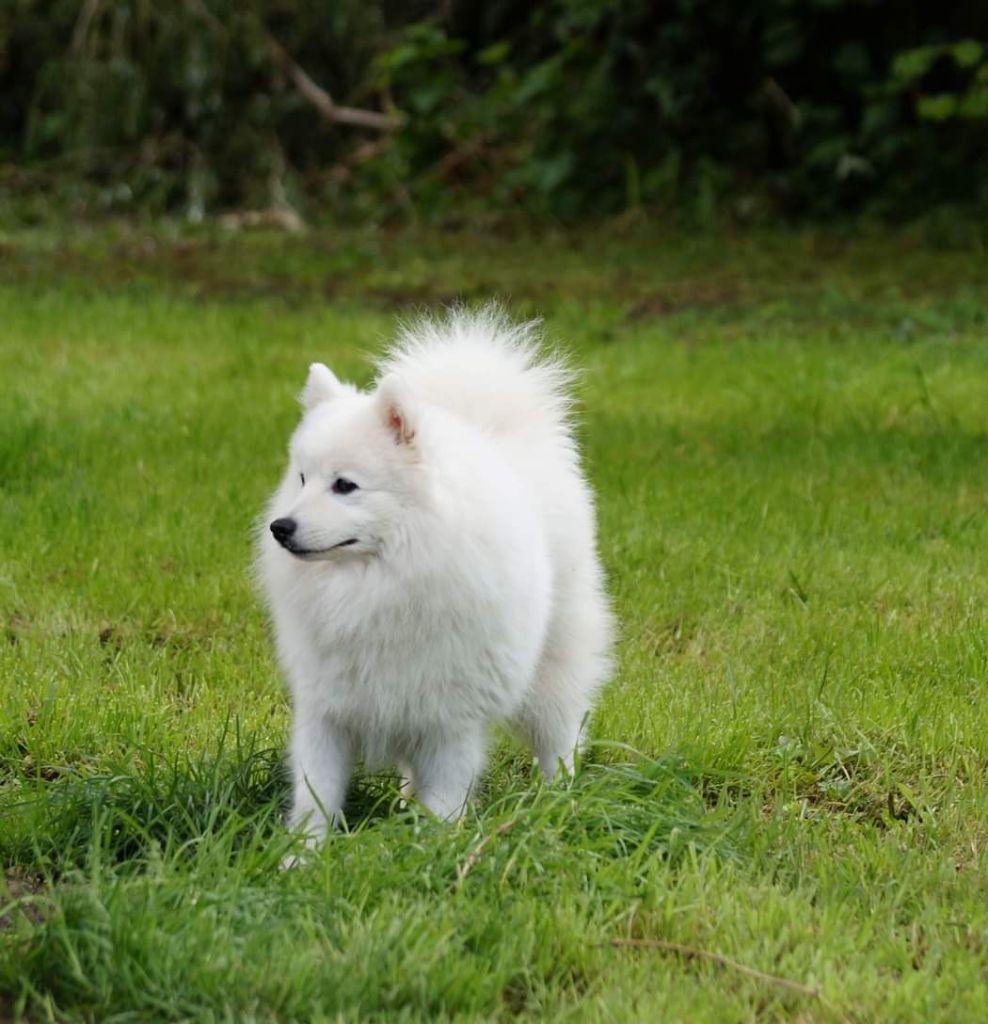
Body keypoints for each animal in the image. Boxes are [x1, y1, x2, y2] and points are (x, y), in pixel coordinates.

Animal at [258, 305, 614, 839]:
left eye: (345, 486)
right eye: (302, 479)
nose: (282, 528)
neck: (378, 586)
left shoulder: (451, 719)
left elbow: (445, 799)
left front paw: (434, 845)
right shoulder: (330, 709)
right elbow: (315, 796)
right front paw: (302, 854)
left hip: (553, 667)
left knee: (560, 737)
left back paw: (558, 802)